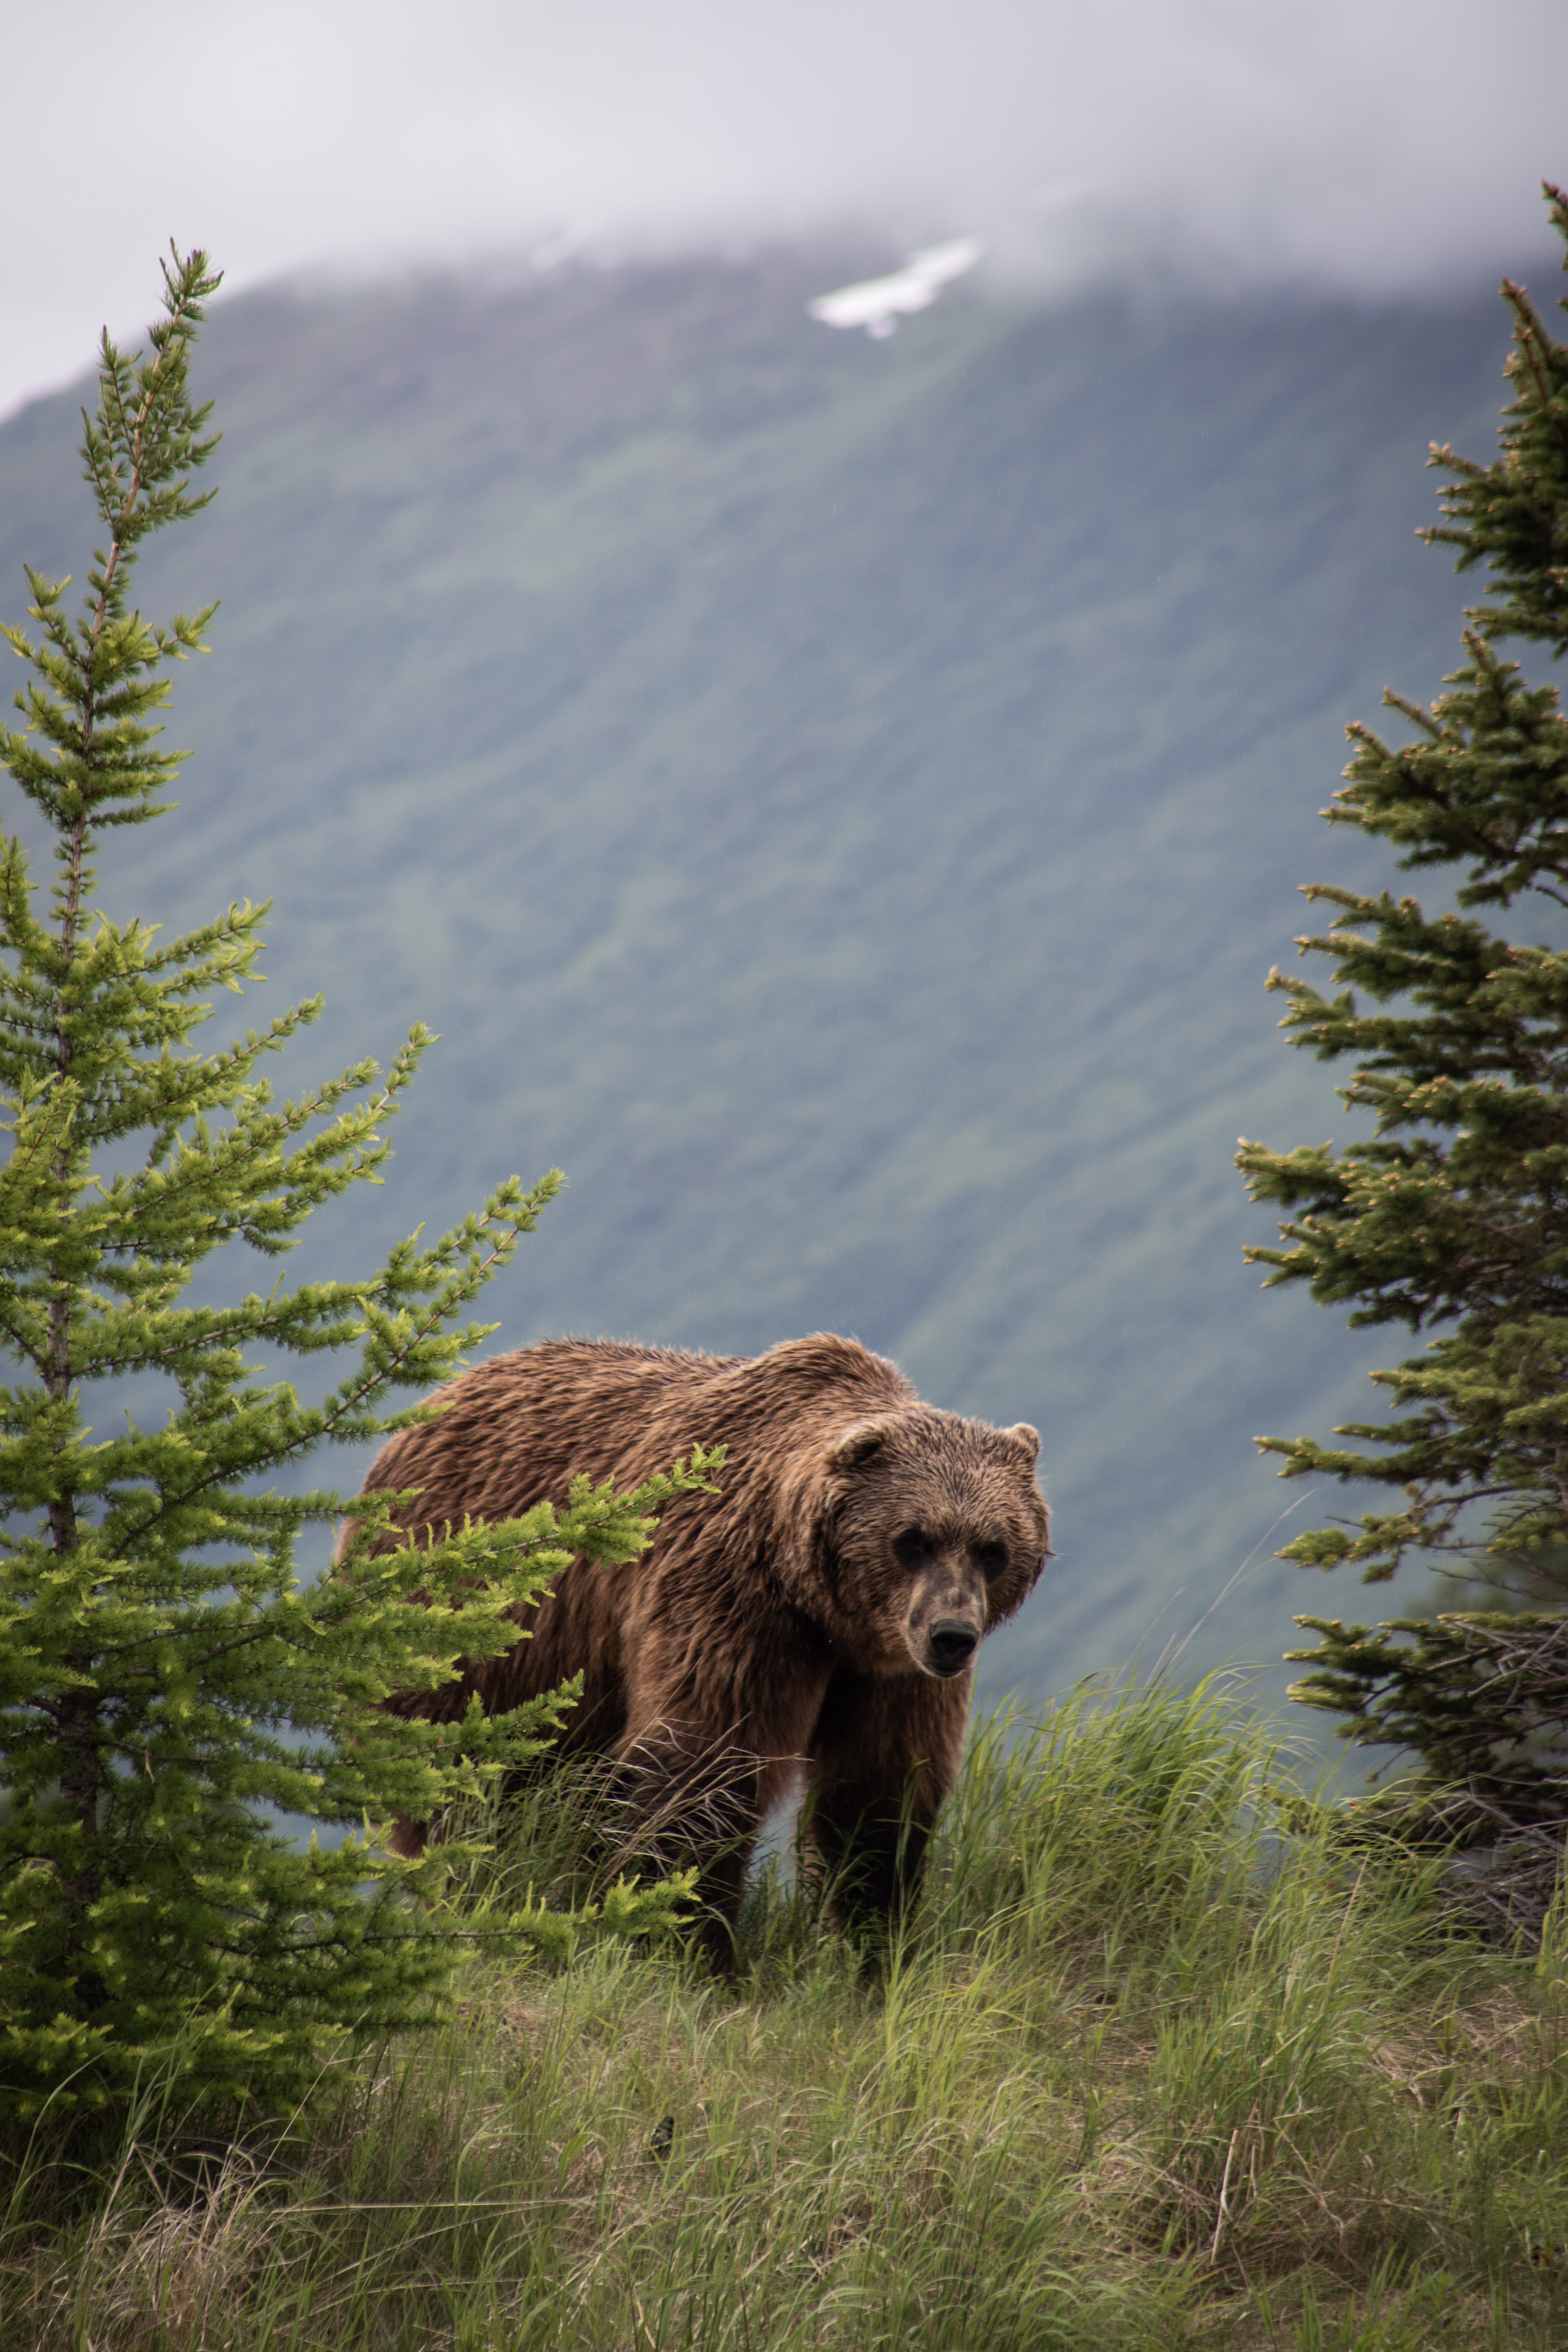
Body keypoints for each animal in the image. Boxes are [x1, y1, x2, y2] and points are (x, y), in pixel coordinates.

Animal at [360, 1336, 1048, 1957]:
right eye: (913, 1539)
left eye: (994, 1548)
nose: (952, 1636)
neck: (821, 1604)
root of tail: (434, 1401)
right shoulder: (732, 1600)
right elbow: (703, 1764)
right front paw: (692, 1947)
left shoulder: (888, 1670)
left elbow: (877, 1793)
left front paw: (872, 1944)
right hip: (473, 1634)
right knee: (467, 1785)